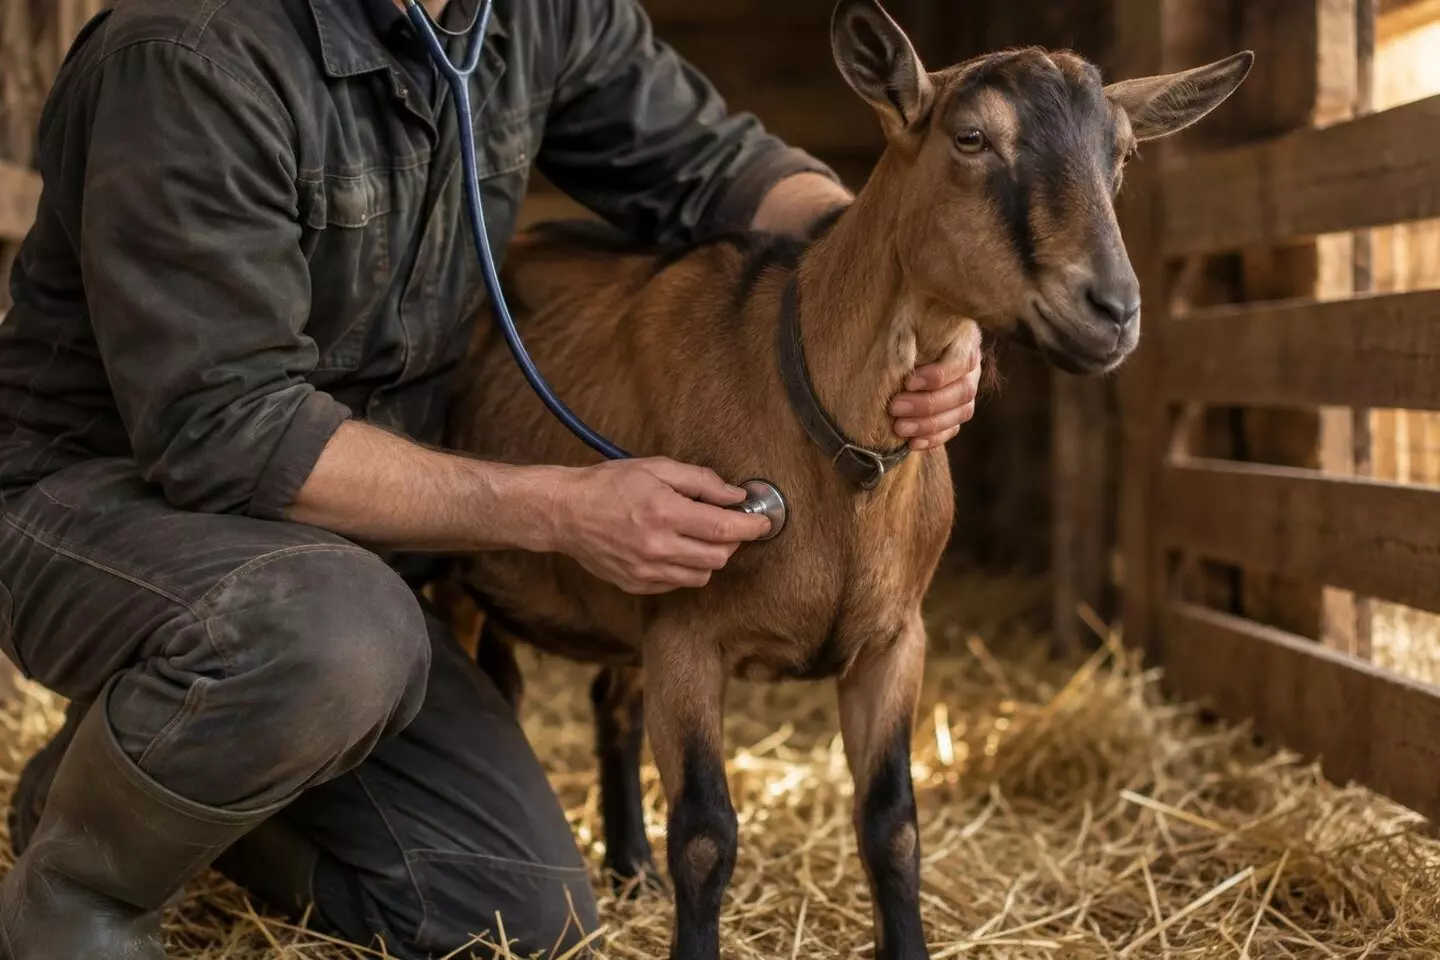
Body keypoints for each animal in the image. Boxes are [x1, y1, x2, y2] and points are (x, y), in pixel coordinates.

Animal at [441, 3, 1252, 957]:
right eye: (971, 138)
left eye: (1120, 153)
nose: (1112, 310)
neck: (834, 449)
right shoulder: (686, 631)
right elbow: (707, 834)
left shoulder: (894, 640)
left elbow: (891, 824)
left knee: (612, 703)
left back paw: (631, 868)